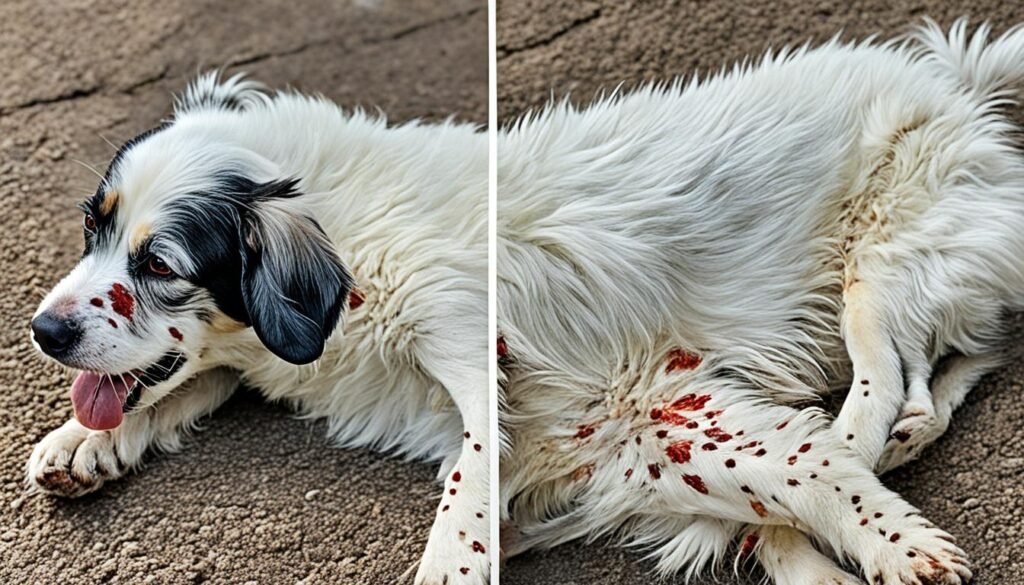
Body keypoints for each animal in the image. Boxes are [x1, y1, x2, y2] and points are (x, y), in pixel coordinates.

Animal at [24, 73, 487, 585]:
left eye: (160, 265)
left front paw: (452, 561)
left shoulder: (466, 333)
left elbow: (477, 463)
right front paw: (81, 438)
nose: (43, 331)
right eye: (90, 222)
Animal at [497, 18, 1024, 585]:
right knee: (951, 367)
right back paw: (897, 441)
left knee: (888, 384)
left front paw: (892, 548)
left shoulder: (643, 404)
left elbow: (799, 475)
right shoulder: (623, 448)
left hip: (875, 273)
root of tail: (956, 84)